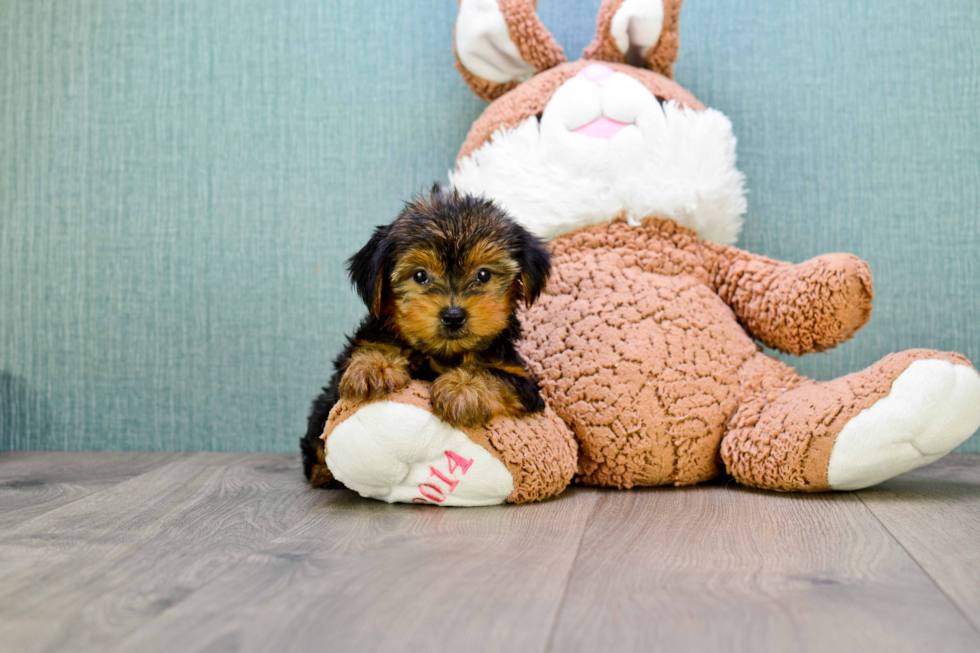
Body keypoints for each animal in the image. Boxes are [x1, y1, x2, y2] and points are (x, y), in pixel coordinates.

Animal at [300, 183, 552, 484]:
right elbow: (371, 349)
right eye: (420, 276)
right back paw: (322, 472)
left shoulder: (522, 381)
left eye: (483, 275)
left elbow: (497, 376)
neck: (442, 355)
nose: (453, 316)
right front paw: (374, 365)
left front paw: (462, 387)